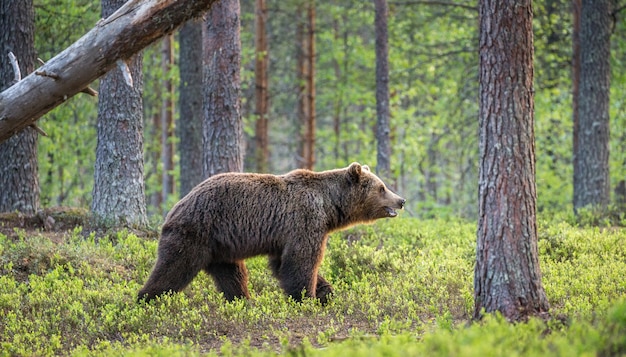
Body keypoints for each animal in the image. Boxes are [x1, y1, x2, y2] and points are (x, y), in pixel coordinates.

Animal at [136, 161, 404, 304]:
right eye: (382, 187)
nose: (401, 200)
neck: (330, 207)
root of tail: (176, 206)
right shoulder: (305, 220)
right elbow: (301, 260)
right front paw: (306, 297)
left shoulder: (286, 235)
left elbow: (282, 263)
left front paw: (325, 291)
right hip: (196, 231)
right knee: (174, 267)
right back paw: (146, 299)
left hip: (220, 245)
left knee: (231, 274)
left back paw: (243, 301)